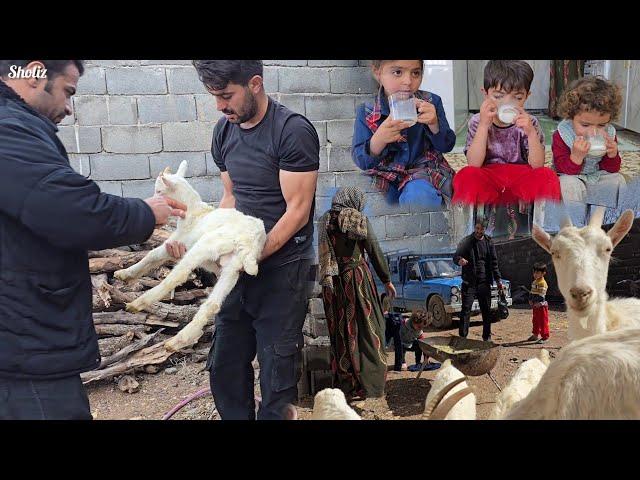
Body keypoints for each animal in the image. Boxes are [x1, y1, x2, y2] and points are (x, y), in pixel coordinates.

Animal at [114, 161, 264, 352]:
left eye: (159, 191)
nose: (153, 204)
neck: (194, 213)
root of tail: (250, 241)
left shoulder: (179, 240)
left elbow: (152, 255)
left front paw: (125, 273)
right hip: (232, 267)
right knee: (212, 304)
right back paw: (179, 340)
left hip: (207, 244)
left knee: (178, 275)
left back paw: (138, 303)